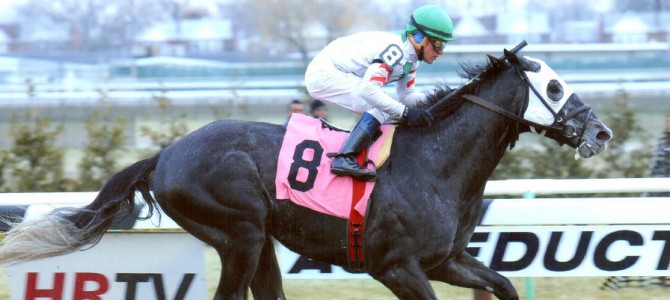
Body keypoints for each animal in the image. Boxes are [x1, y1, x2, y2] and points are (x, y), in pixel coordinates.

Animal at [0, 48, 612, 298]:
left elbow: (503, 283)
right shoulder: (396, 267)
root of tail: (167, 153)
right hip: (240, 234)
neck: (435, 164)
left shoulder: (446, 260)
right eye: (554, 86)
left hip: (260, 241)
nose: (601, 131)